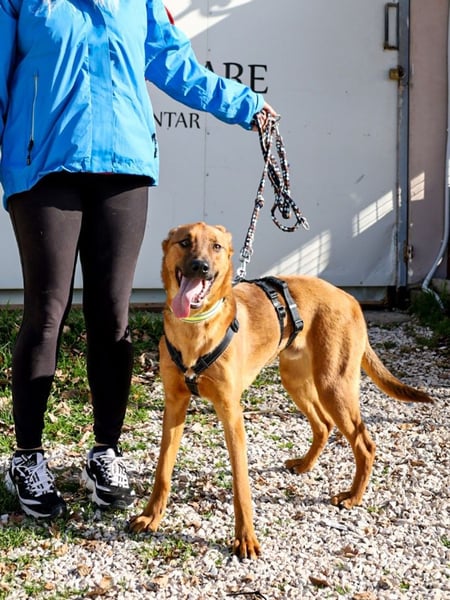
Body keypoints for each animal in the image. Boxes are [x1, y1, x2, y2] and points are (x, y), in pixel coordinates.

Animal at [129, 222, 433, 559]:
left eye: (216, 246)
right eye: (185, 242)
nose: (201, 266)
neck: (195, 329)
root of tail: (349, 298)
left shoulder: (231, 414)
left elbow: (241, 484)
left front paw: (245, 538)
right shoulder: (174, 405)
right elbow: (162, 470)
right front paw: (151, 516)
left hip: (334, 386)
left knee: (364, 443)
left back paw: (353, 496)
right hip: (295, 380)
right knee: (324, 425)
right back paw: (305, 464)